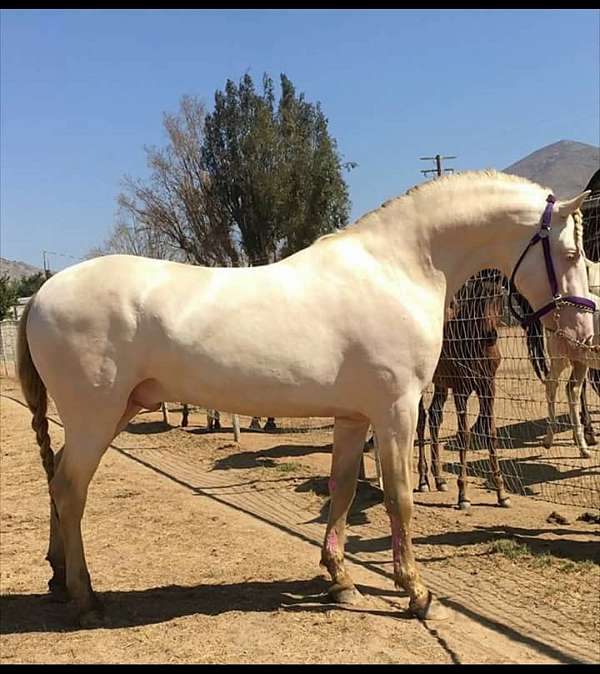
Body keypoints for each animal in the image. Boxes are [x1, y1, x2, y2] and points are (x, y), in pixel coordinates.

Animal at [17, 169, 596, 624]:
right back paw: (85, 597)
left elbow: (342, 491)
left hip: (116, 412)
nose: (583, 334)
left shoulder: (354, 417)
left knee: (58, 479)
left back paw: (57, 577)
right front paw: (416, 592)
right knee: (70, 489)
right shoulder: (396, 412)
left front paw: (340, 579)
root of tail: (41, 295)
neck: (397, 270)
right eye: (571, 252)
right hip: (96, 416)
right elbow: (400, 499)